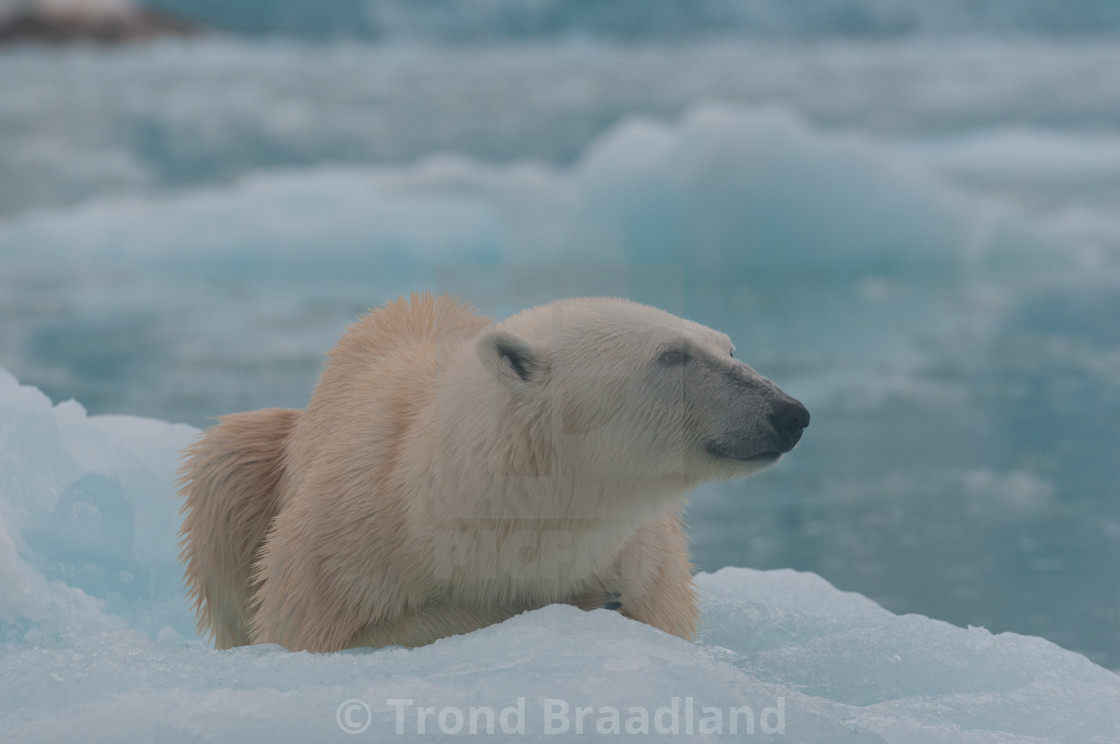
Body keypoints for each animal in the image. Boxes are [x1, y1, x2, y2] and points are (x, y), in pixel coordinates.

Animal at [176, 295, 806, 649]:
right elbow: (318, 633)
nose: (789, 413)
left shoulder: (650, 563)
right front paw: (580, 603)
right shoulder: (339, 546)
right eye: (672, 355)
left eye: (728, 347)